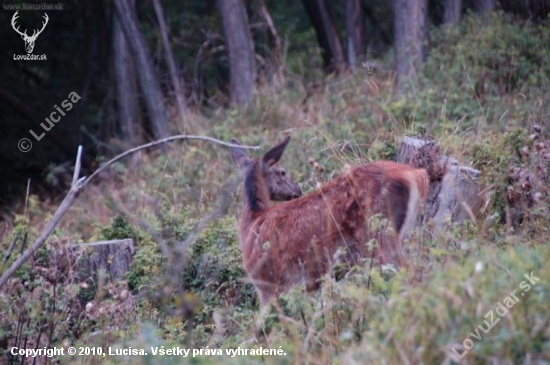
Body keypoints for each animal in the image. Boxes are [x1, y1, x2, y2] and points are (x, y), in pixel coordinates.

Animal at [233, 135, 432, 306]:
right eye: (282, 172)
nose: (297, 191)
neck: (252, 222)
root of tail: (416, 174)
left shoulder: (268, 283)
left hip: (379, 234)